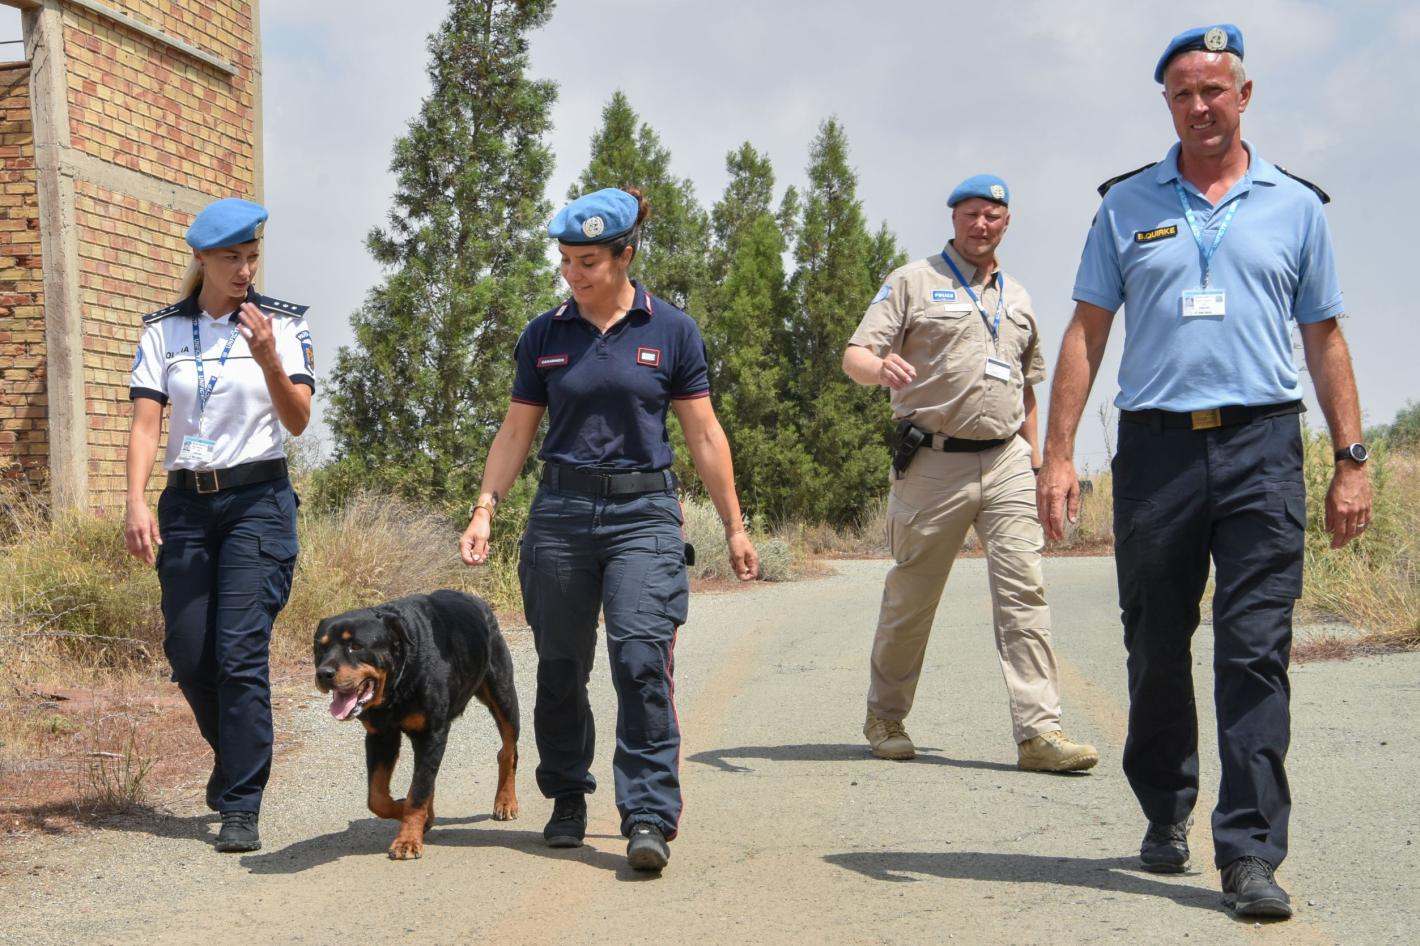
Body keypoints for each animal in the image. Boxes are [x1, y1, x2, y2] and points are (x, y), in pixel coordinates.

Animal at [313, 590, 519, 859]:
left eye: (355, 646)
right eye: (320, 647)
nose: (323, 673)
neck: (398, 681)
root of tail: (476, 600)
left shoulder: (432, 734)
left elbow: (418, 791)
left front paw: (408, 840)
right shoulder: (381, 736)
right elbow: (377, 797)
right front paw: (417, 816)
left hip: (502, 694)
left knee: (508, 750)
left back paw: (506, 801)